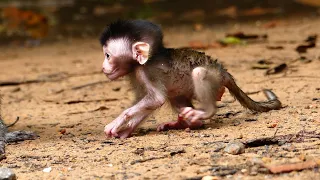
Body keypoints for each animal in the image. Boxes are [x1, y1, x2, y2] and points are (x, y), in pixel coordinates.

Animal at [99, 19, 282, 139]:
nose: (103, 67)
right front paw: (126, 131)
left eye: (107, 55)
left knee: (199, 73)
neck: (146, 60)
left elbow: (156, 99)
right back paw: (186, 124)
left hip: (215, 78)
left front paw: (117, 123)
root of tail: (223, 71)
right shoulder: (135, 73)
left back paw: (206, 112)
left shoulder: (145, 71)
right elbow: (146, 102)